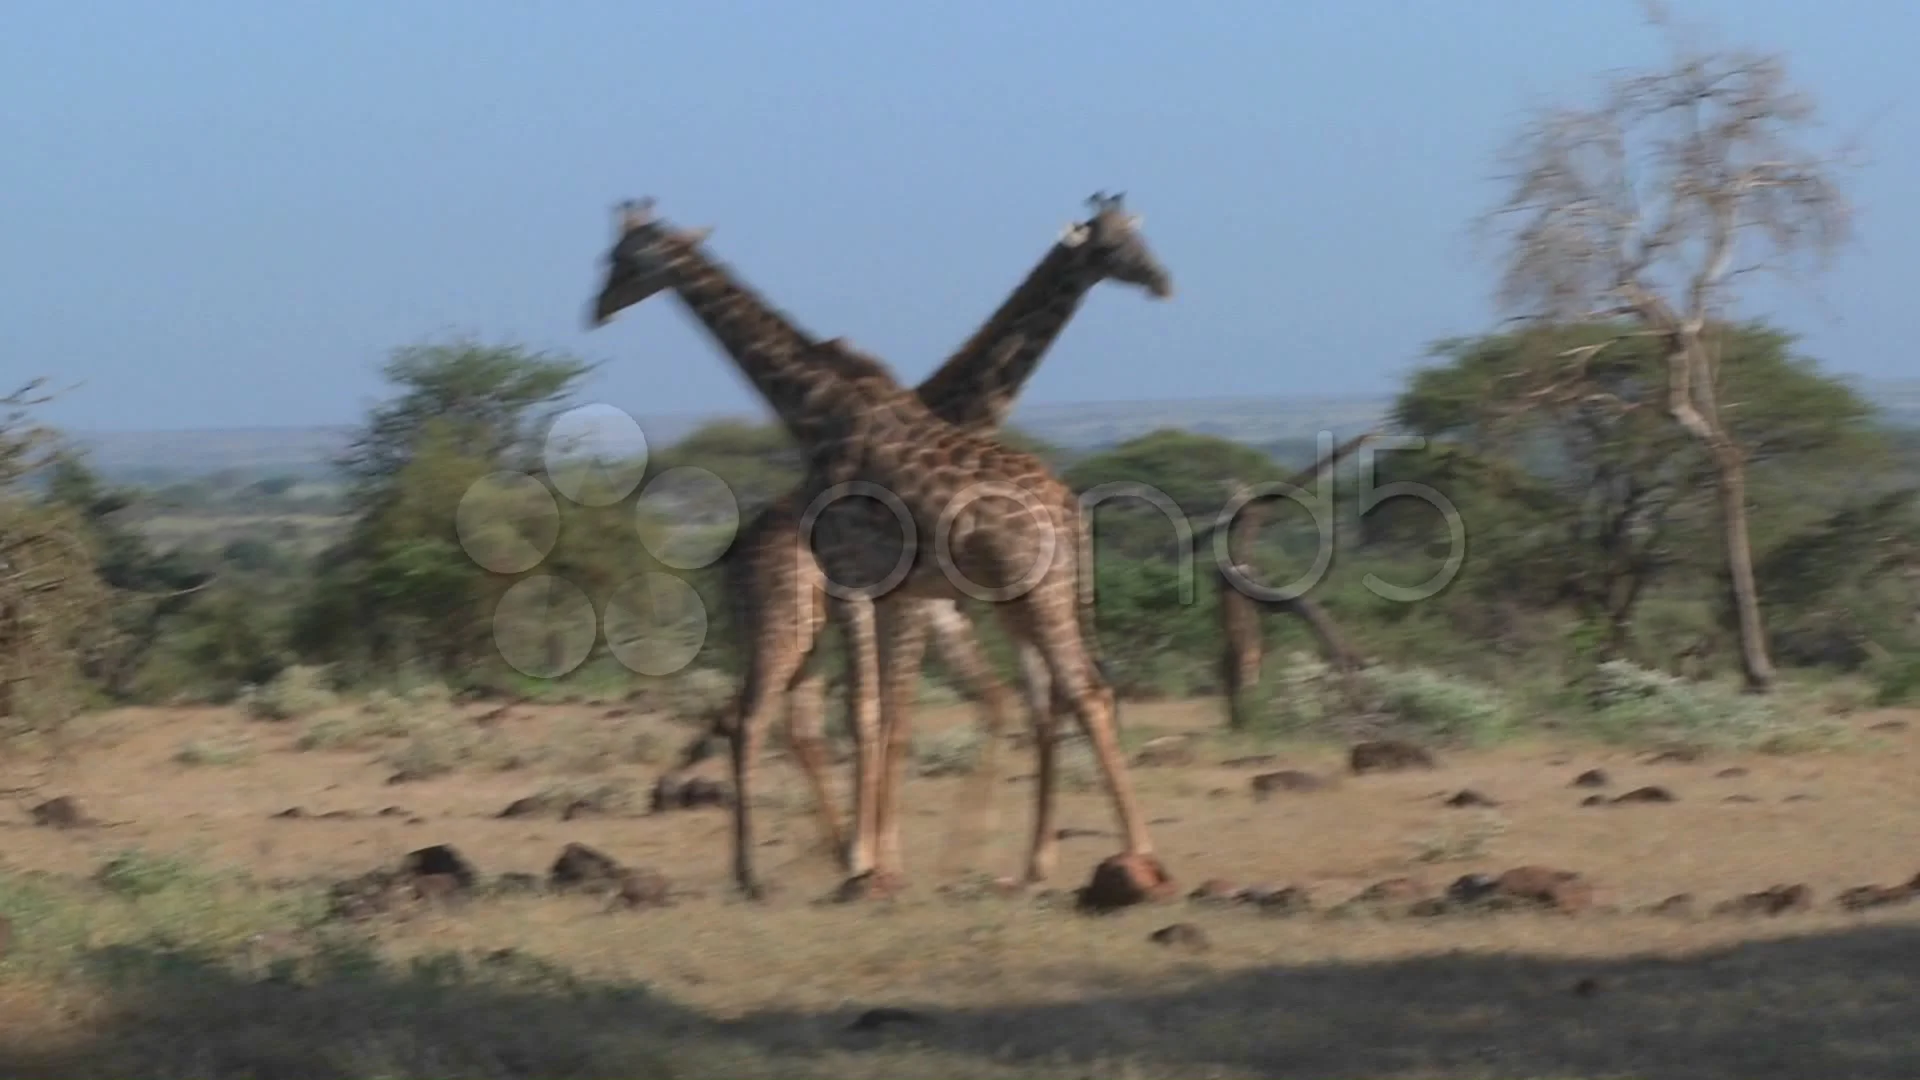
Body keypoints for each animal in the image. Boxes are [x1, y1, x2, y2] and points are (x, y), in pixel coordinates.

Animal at [588, 198, 1166, 899]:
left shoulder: (888, 591)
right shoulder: (893, 594)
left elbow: (890, 716)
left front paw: (877, 859)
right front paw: (879, 861)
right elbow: (885, 716)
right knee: (765, 719)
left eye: (619, 257)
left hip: (1008, 599)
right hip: (810, 623)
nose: (598, 306)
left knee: (1074, 693)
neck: (823, 411)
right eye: (1114, 243)